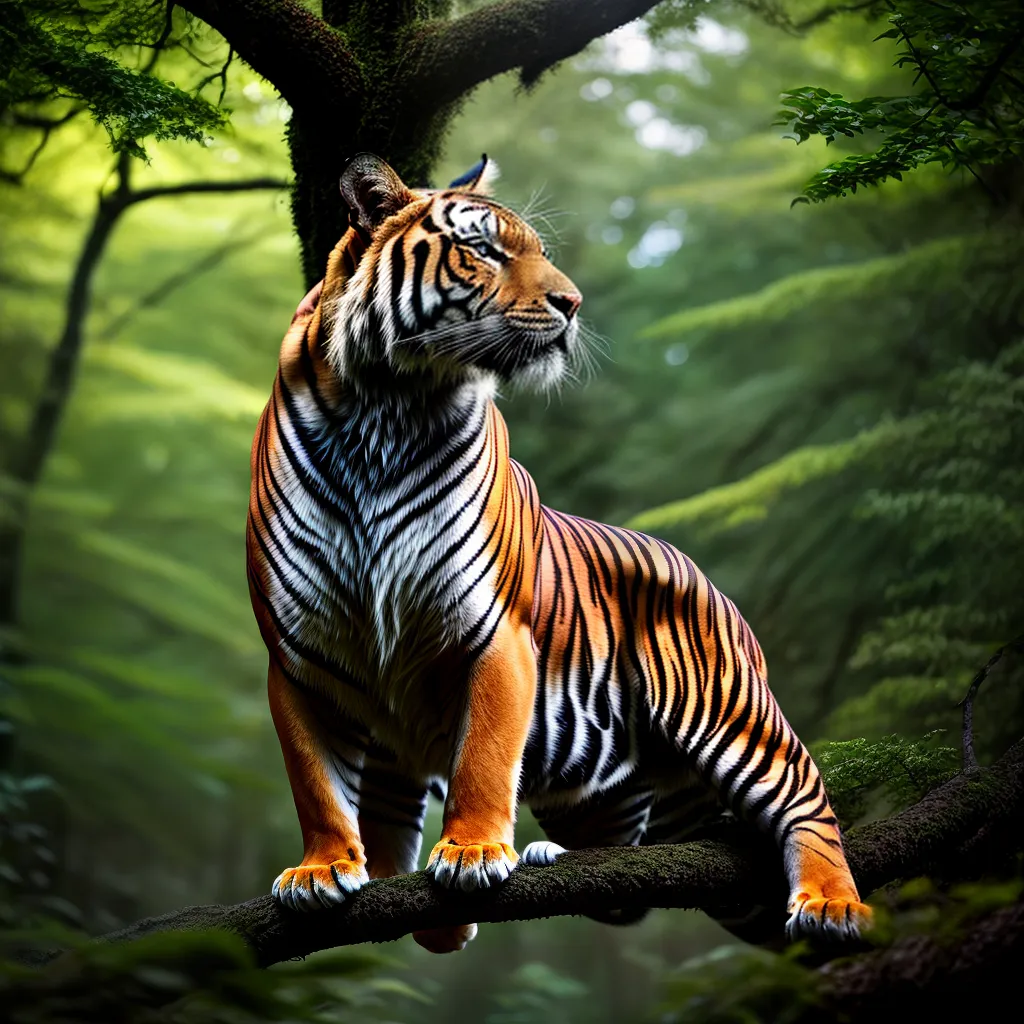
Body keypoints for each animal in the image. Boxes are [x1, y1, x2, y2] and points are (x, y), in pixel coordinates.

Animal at [246, 152, 871, 954]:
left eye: (538, 249)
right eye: (484, 250)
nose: (573, 303)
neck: (385, 406)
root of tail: (708, 580)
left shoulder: (492, 631)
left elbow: (483, 755)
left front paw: (472, 853)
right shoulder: (296, 653)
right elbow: (315, 780)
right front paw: (323, 869)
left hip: (728, 711)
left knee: (807, 801)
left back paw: (832, 903)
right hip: (590, 779)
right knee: (622, 878)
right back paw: (521, 861)